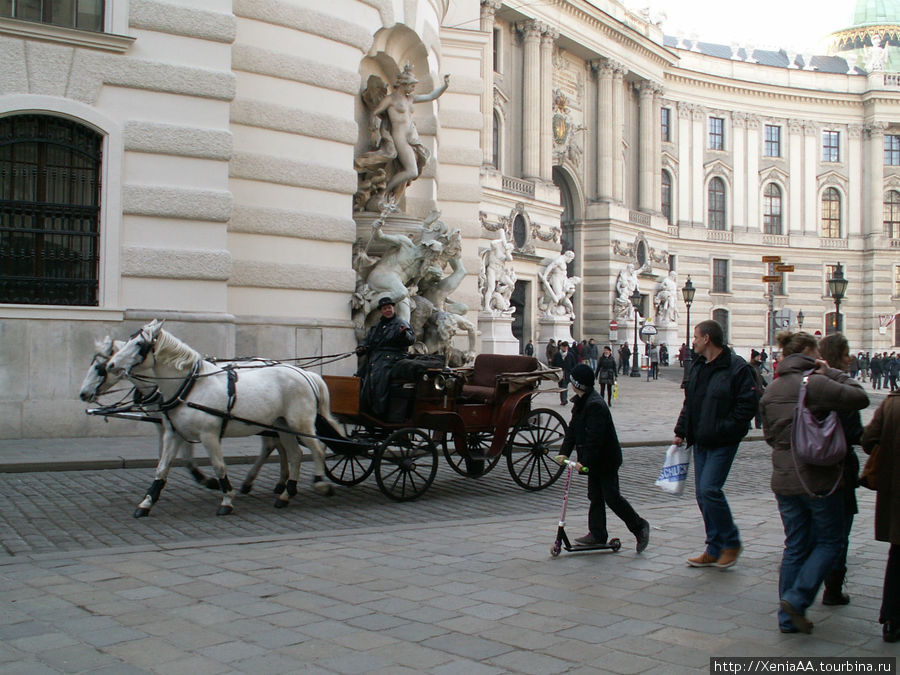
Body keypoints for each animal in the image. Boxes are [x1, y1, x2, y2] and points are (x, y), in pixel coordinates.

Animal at [80, 338, 286, 496]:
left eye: (100, 368)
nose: (83, 394)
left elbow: (185, 456)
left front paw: (207, 480)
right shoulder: (169, 424)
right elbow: (168, 455)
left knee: (273, 445)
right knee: (276, 445)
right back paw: (274, 482)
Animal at [106, 322, 338, 516]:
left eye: (138, 344)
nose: (110, 365)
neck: (191, 387)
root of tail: (306, 374)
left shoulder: (208, 435)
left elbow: (219, 466)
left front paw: (227, 499)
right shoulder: (174, 434)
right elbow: (162, 468)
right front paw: (146, 502)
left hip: (300, 423)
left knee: (318, 449)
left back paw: (320, 483)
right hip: (283, 425)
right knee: (295, 454)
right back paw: (286, 494)